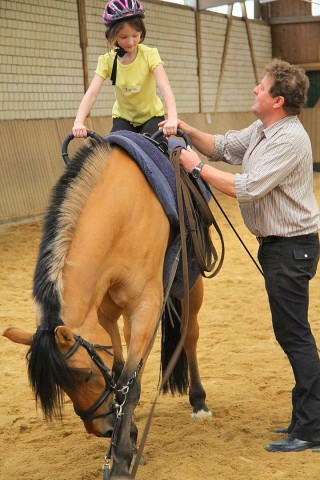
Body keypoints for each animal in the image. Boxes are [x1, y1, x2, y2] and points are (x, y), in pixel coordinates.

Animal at [3, 129, 222, 478]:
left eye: (84, 375)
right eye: (63, 385)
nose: (101, 429)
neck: (120, 211)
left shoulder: (145, 307)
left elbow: (130, 383)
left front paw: (120, 459)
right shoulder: (104, 313)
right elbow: (119, 374)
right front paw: (128, 437)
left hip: (189, 284)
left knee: (189, 336)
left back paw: (198, 401)